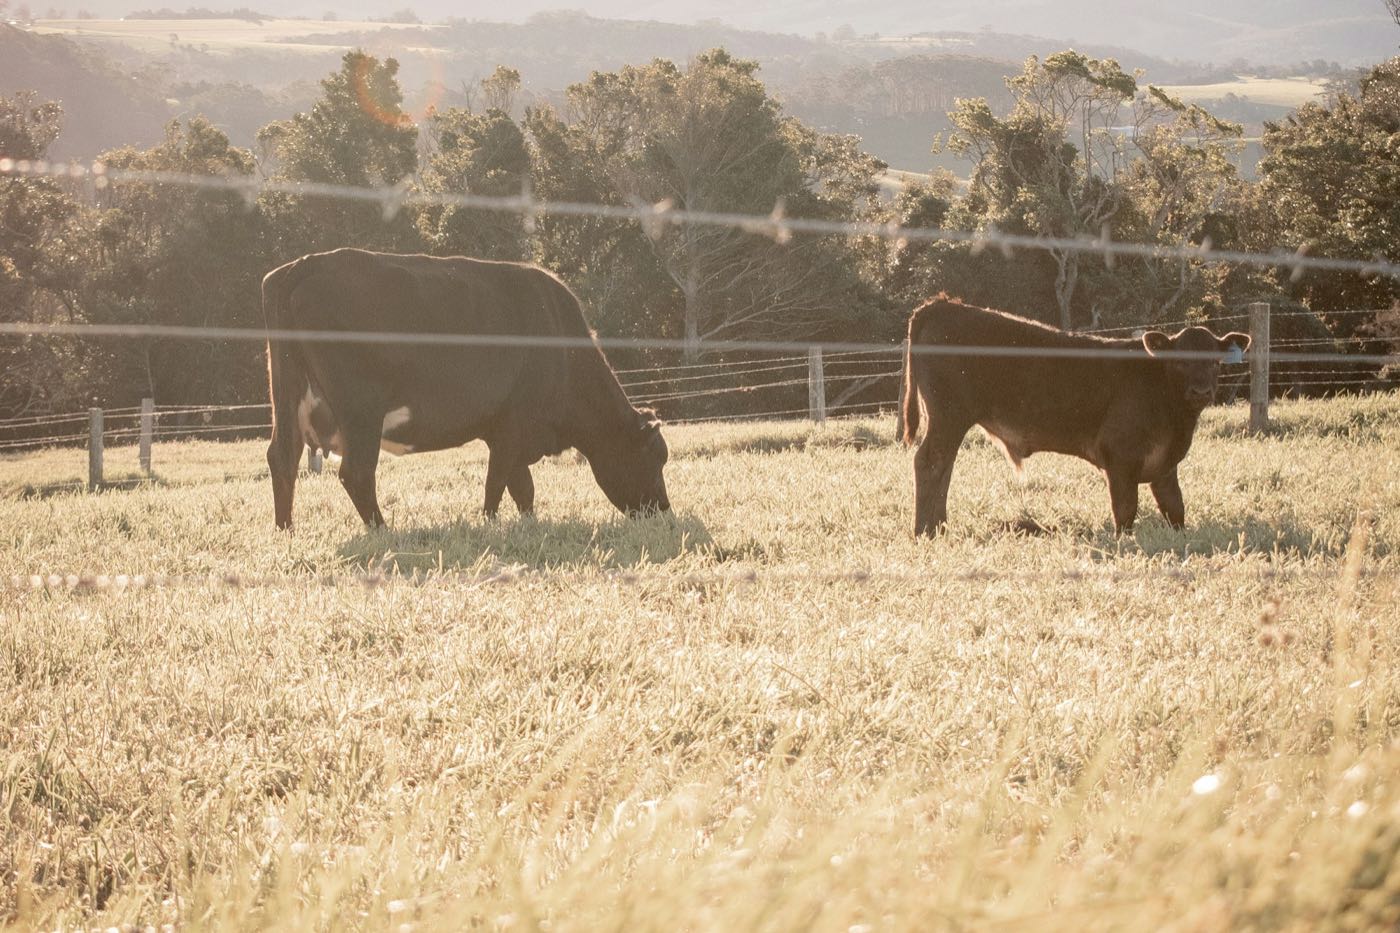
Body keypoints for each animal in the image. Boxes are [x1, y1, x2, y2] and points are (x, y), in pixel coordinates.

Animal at [263, 248, 670, 530]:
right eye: (654, 458)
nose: (663, 511)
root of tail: (304, 265)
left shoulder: (505, 433)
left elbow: (522, 487)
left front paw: (527, 523)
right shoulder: (513, 427)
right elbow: (498, 483)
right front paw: (489, 523)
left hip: (288, 395)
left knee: (283, 457)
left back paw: (286, 530)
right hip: (361, 412)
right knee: (356, 472)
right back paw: (382, 529)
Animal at [899, 295, 1250, 536]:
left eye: (1215, 361)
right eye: (1180, 361)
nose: (1201, 391)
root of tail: (941, 305)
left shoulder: (1165, 464)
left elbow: (1175, 508)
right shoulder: (1119, 457)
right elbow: (1125, 510)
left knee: (944, 465)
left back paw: (940, 525)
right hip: (948, 416)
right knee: (929, 462)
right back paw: (926, 531)